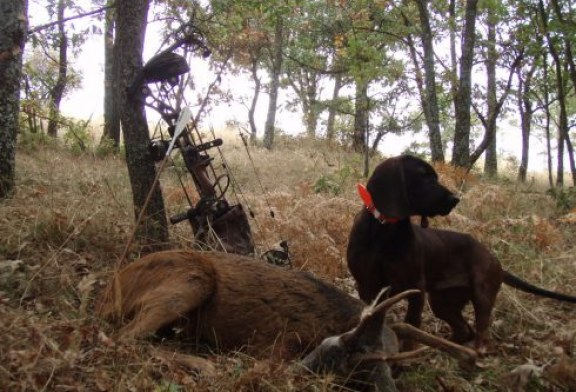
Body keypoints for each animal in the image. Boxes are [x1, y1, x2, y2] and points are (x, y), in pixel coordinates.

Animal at [98, 250, 476, 390]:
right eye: (357, 369)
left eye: (391, 366)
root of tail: (113, 286)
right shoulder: (275, 345)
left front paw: (471, 357)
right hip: (190, 279)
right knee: (124, 337)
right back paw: (205, 365)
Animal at [346, 155, 576, 352]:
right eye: (423, 176)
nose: (455, 199)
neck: (383, 231)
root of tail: (495, 259)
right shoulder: (367, 287)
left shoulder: (415, 289)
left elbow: (410, 327)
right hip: (442, 302)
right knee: (464, 330)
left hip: (482, 296)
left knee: (481, 335)